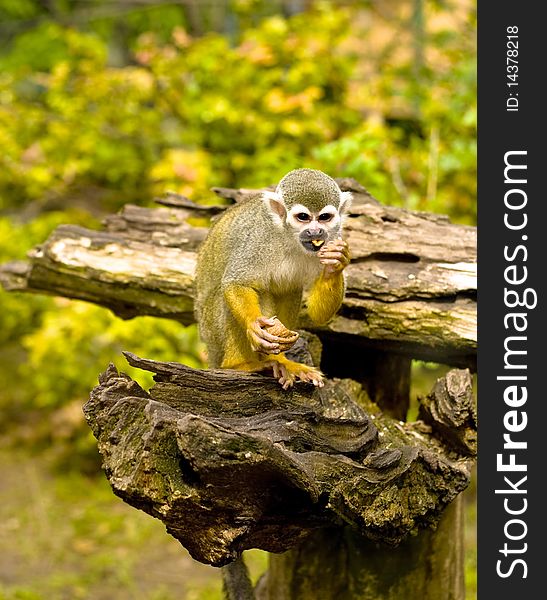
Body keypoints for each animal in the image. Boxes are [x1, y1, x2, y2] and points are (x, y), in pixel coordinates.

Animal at [196, 169, 352, 390]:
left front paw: (335, 263)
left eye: (324, 218)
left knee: (290, 290)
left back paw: (281, 361)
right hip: (211, 331)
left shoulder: (333, 237)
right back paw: (238, 365)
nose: (315, 231)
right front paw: (254, 325)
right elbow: (236, 282)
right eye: (303, 217)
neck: (290, 238)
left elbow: (318, 314)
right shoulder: (259, 239)